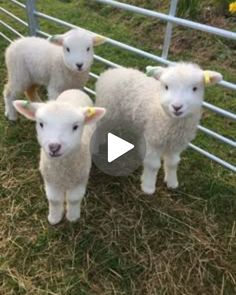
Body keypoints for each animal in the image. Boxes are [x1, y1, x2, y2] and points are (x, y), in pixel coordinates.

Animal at [12, 89, 105, 225]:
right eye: (41, 124)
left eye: (75, 126)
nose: (54, 147)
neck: (62, 170)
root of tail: (74, 90)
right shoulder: (50, 180)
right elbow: (54, 200)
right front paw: (54, 218)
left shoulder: (80, 179)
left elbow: (74, 199)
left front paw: (73, 217)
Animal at [95, 63, 222, 194]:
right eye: (166, 87)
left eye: (195, 88)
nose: (177, 107)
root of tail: (111, 71)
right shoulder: (153, 139)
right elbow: (153, 165)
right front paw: (148, 187)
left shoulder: (176, 145)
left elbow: (173, 163)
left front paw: (172, 183)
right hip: (108, 110)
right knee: (97, 127)